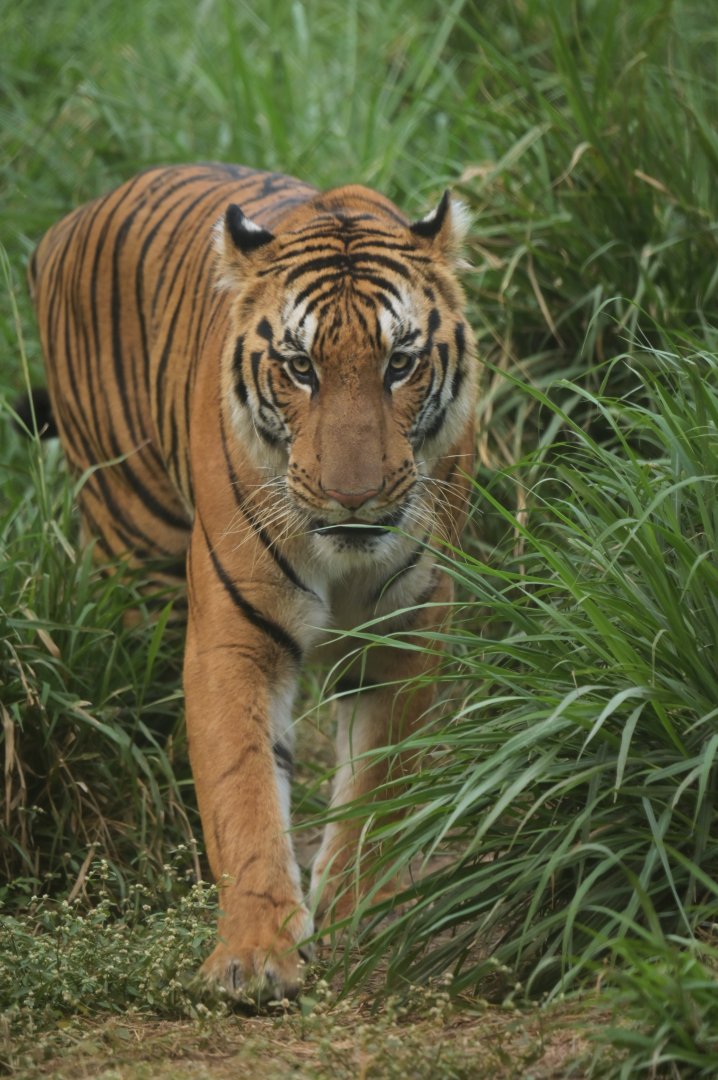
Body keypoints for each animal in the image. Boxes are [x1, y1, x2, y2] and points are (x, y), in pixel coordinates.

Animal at [29, 163, 477, 1001]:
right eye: (300, 368)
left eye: (400, 363)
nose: (351, 496)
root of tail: (69, 221)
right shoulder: (235, 636)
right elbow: (241, 787)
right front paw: (256, 954)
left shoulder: (406, 625)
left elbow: (380, 783)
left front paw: (358, 918)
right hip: (133, 552)